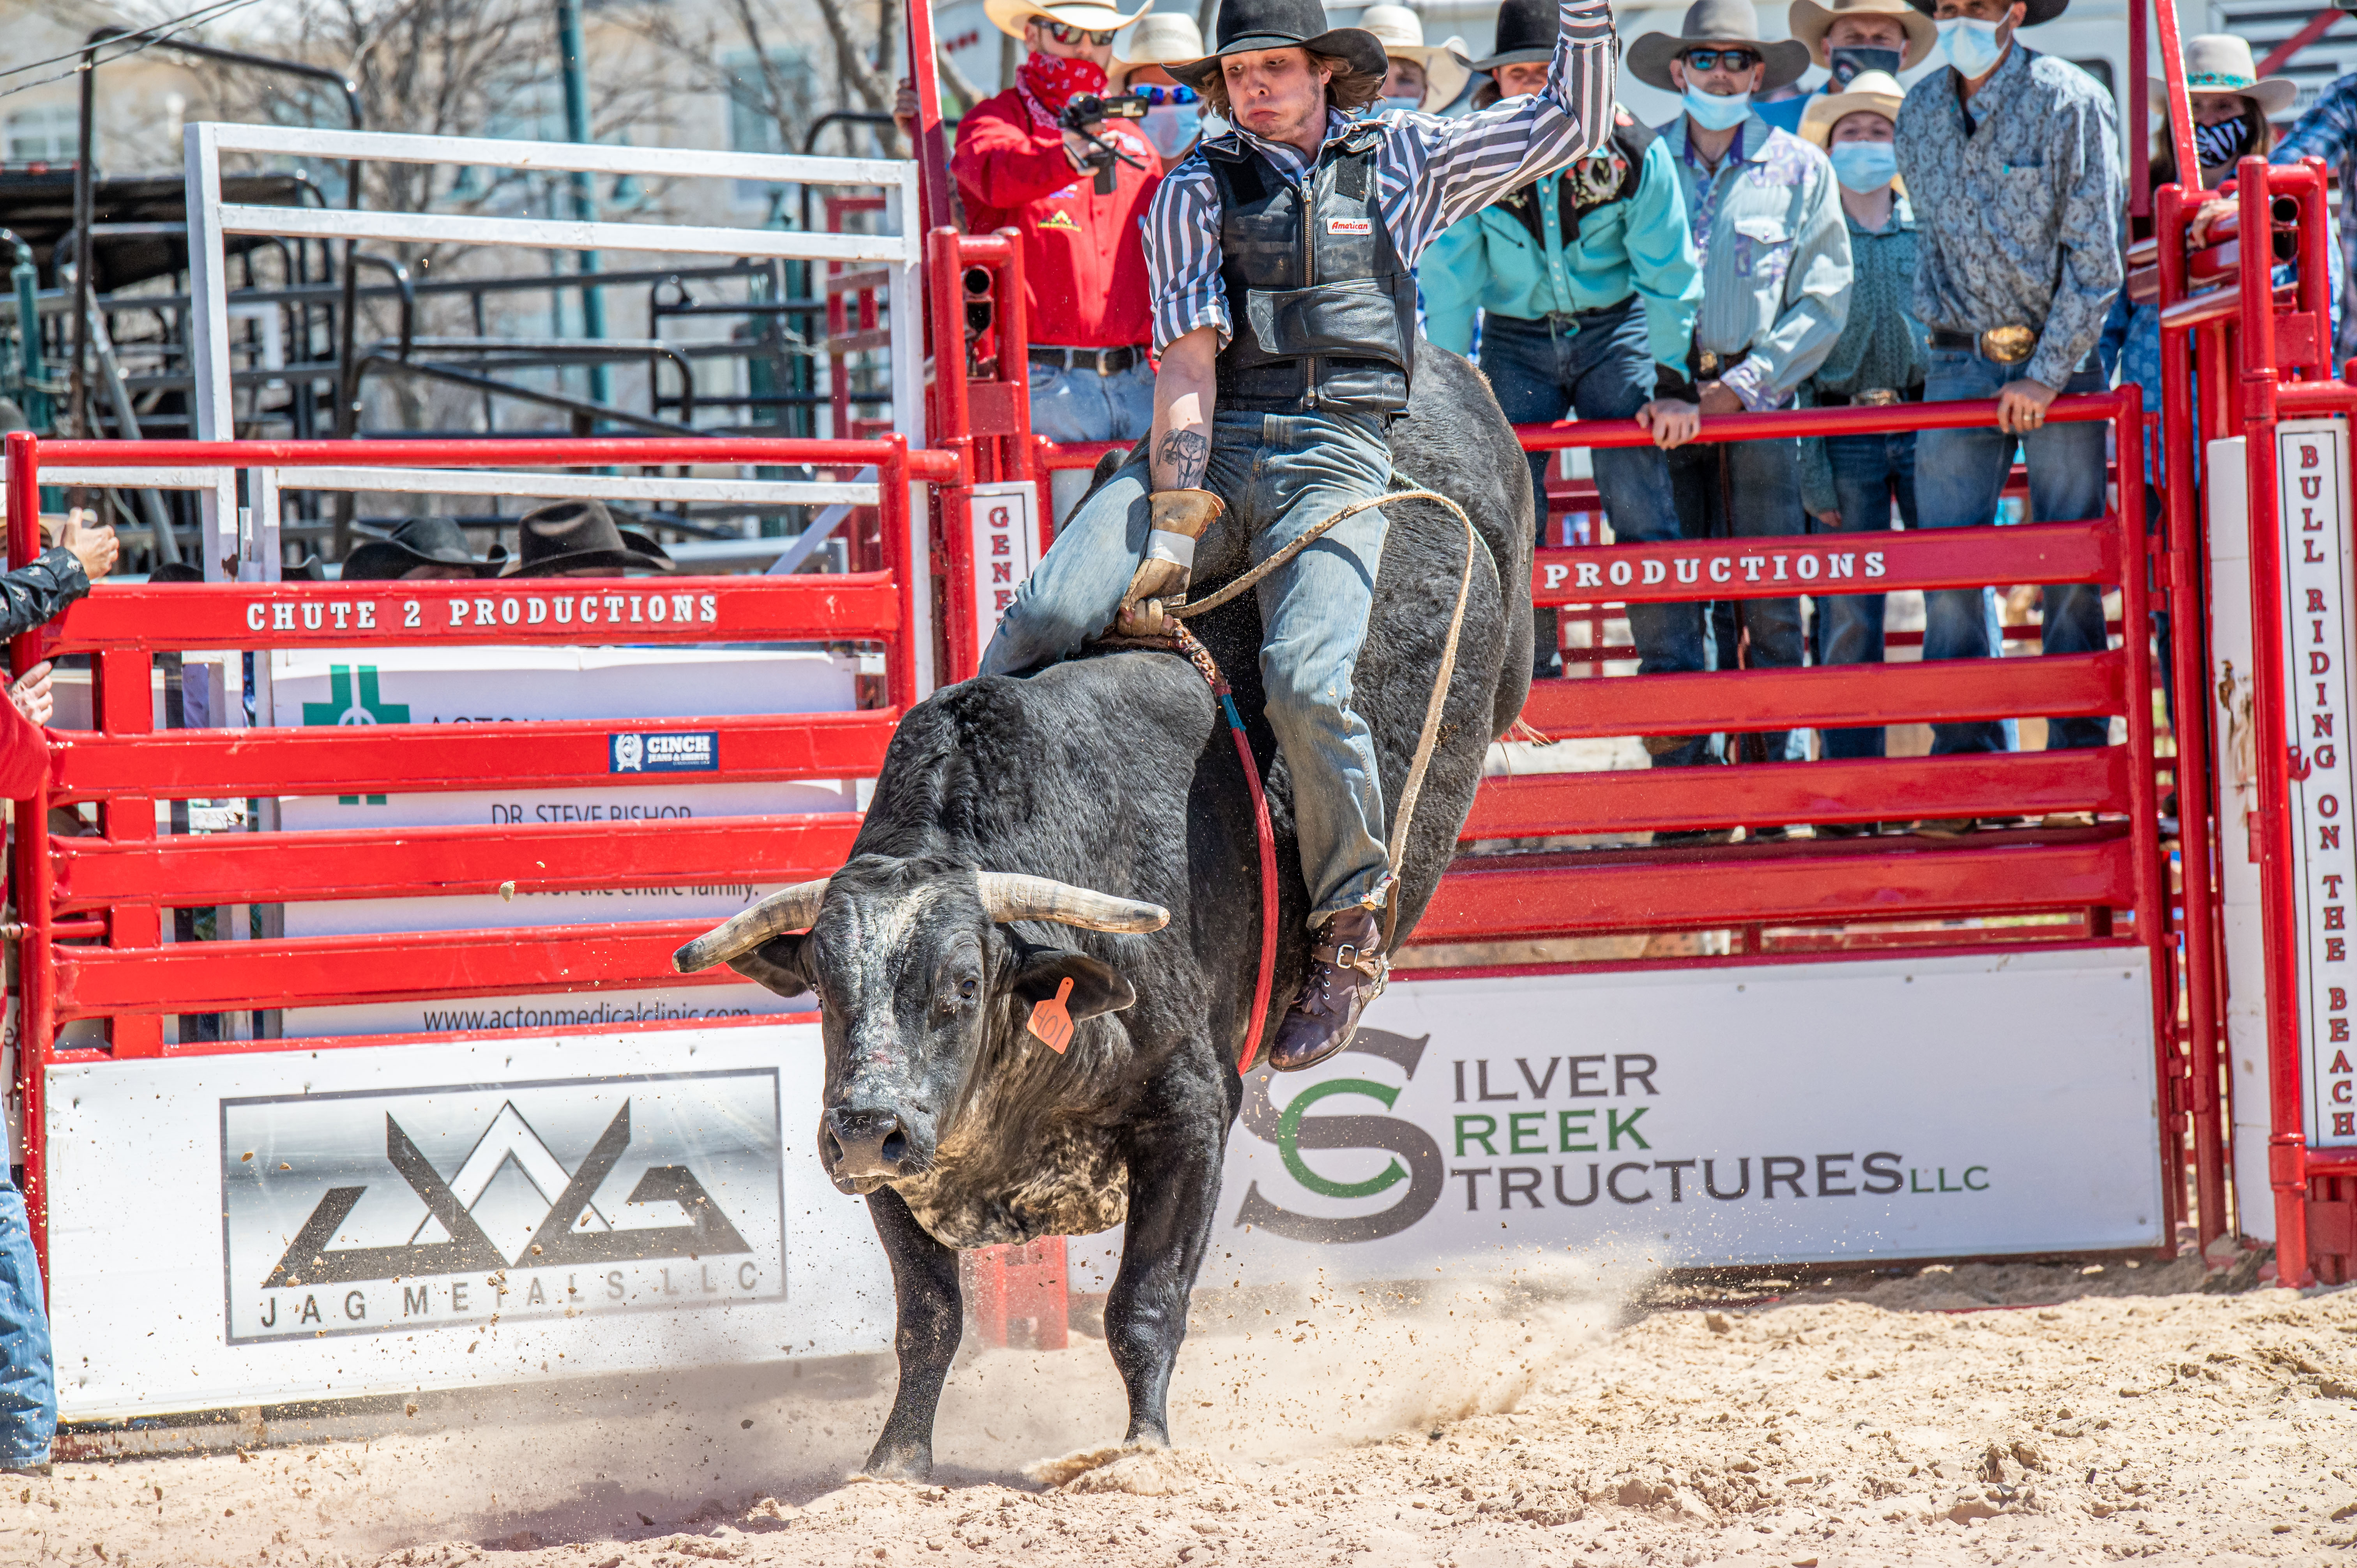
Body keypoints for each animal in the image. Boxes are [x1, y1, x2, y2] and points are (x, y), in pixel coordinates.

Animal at [674, 342, 1537, 1481]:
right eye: (820, 985)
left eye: (962, 986)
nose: (865, 1128)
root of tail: (1436, 365)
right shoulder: (896, 1161)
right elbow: (930, 1320)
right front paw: (897, 1458)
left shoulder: (1193, 1114)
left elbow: (1143, 1305)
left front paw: (1141, 1447)